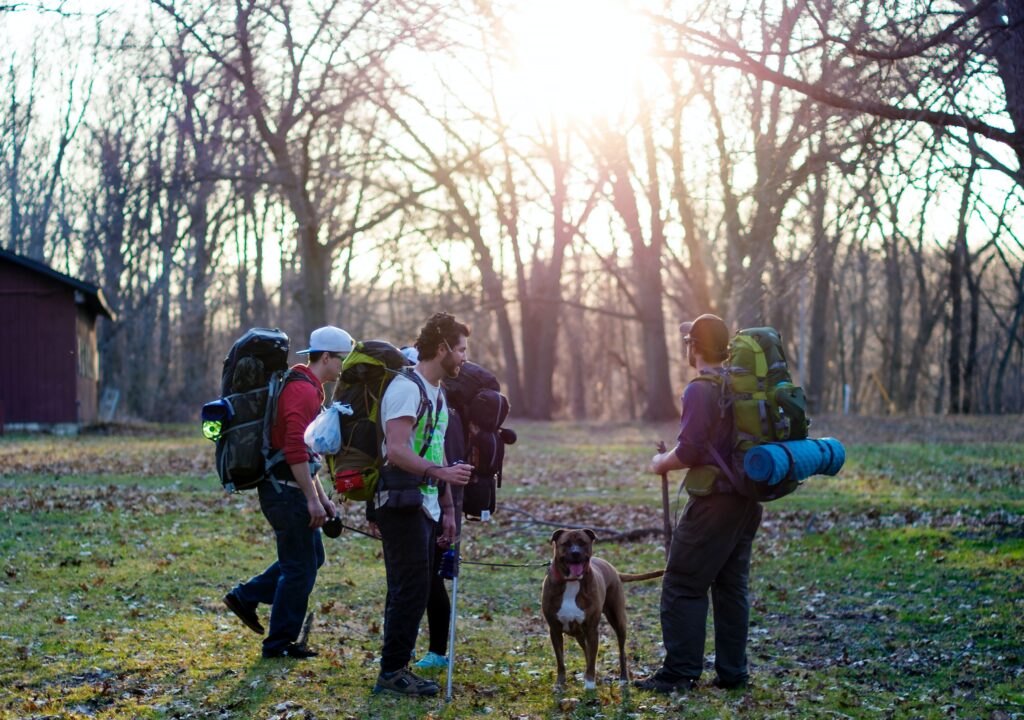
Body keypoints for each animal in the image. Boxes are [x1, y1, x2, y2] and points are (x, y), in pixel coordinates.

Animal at [544, 528, 663, 688]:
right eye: (566, 543)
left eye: (582, 542)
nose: (575, 553)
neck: (572, 581)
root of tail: (614, 570)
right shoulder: (555, 630)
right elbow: (561, 660)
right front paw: (560, 683)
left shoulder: (592, 630)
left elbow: (592, 659)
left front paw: (589, 684)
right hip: (579, 633)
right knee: (586, 650)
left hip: (618, 620)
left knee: (621, 651)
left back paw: (623, 678)